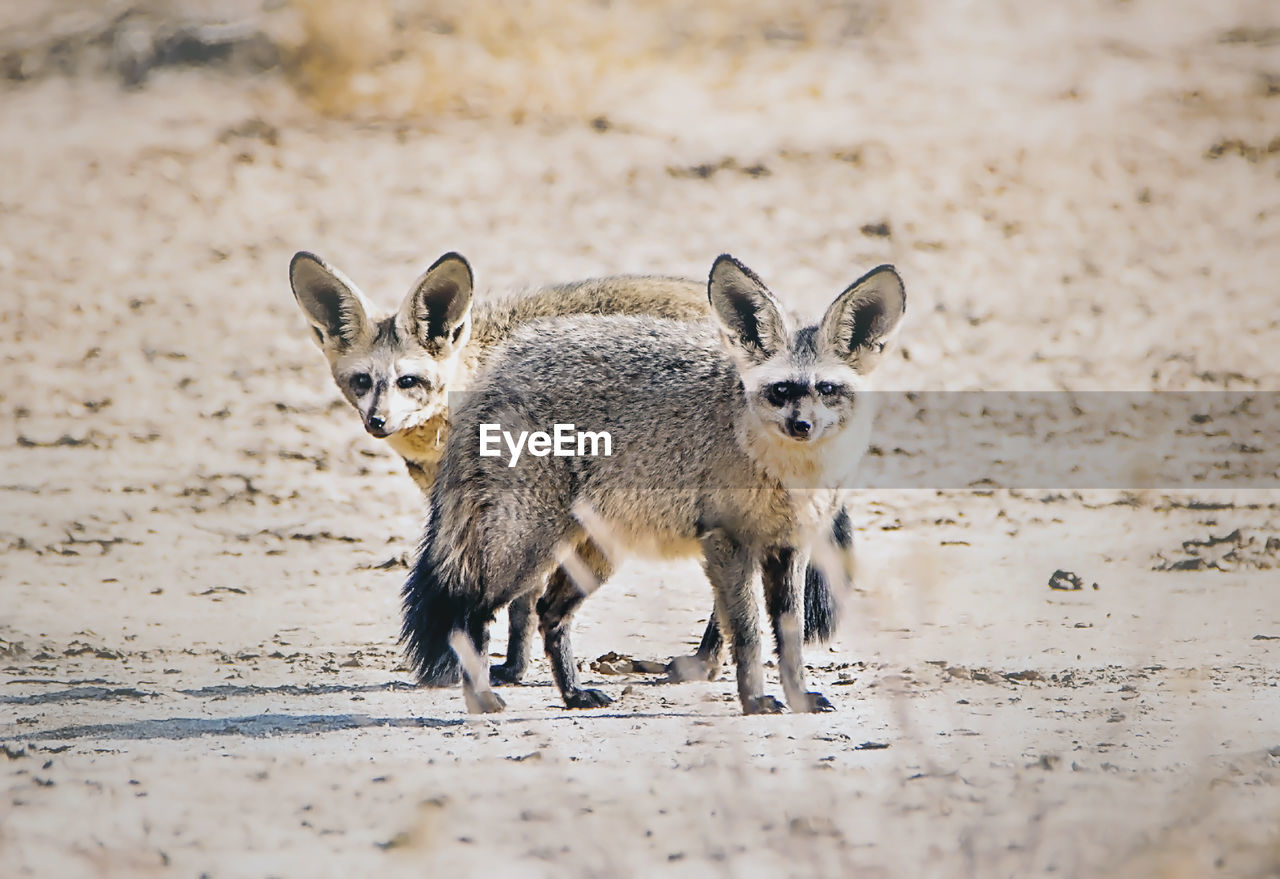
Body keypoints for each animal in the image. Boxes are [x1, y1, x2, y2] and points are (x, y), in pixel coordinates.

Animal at [290, 250, 849, 685]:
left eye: (409, 381)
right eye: (362, 382)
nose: (377, 422)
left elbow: (521, 600)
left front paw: (514, 668)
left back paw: (706, 661)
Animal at [404, 254, 906, 716]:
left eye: (827, 390)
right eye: (780, 391)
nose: (801, 426)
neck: (792, 477)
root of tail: (500, 369)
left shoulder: (790, 546)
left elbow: (791, 637)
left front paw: (797, 697)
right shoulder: (726, 544)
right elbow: (747, 634)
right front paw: (756, 701)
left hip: (595, 555)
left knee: (549, 611)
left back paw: (573, 694)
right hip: (522, 551)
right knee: (468, 618)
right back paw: (483, 699)